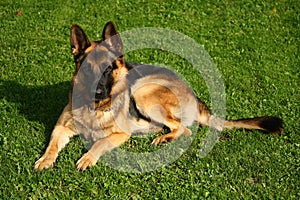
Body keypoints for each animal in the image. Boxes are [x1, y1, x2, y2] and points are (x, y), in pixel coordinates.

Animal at [34, 22, 282, 172]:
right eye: (86, 69)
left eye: (108, 69)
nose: (98, 92)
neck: (96, 108)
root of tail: (195, 97)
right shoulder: (61, 128)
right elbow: (52, 145)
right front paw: (45, 159)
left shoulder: (120, 135)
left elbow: (100, 143)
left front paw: (87, 157)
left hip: (143, 92)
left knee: (184, 129)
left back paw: (164, 138)